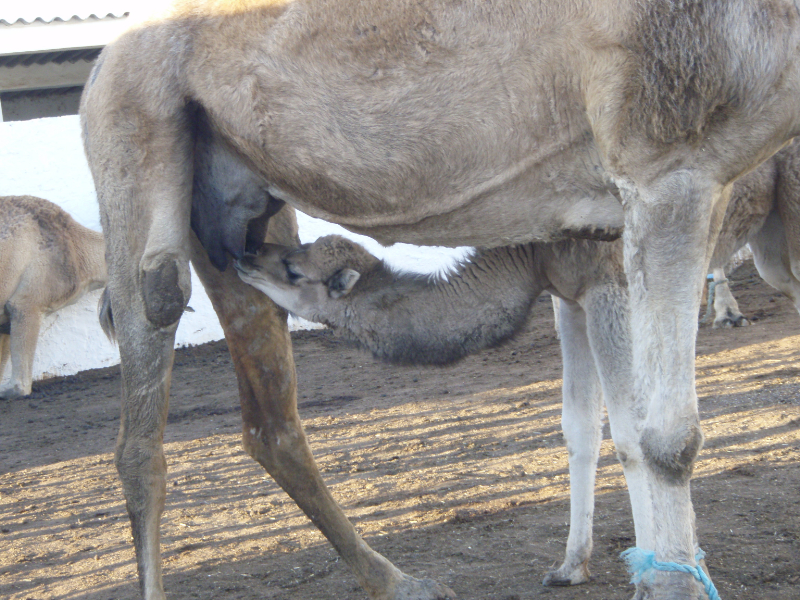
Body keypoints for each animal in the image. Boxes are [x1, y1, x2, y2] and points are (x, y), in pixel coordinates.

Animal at [234, 138, 800, 588]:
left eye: (294, 268)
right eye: (295, 250)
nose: (244, 256)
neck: (527, 248)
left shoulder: (610, 288)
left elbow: (629, 432)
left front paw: (650, 575)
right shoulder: (568, 298)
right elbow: (579, 428)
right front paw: (570, 566)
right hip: (771, 249)